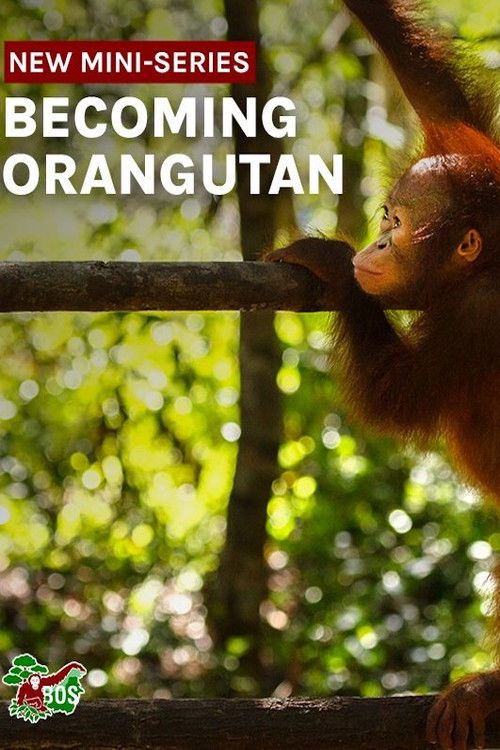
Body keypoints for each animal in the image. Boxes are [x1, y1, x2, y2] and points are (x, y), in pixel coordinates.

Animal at [265, 1, 500, 747]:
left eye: (396, 226)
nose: (373, 244)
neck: (485, 265)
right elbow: (442, 100)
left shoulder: (480, 315)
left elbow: (401, 400)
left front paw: (333, 265)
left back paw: (491, 691)